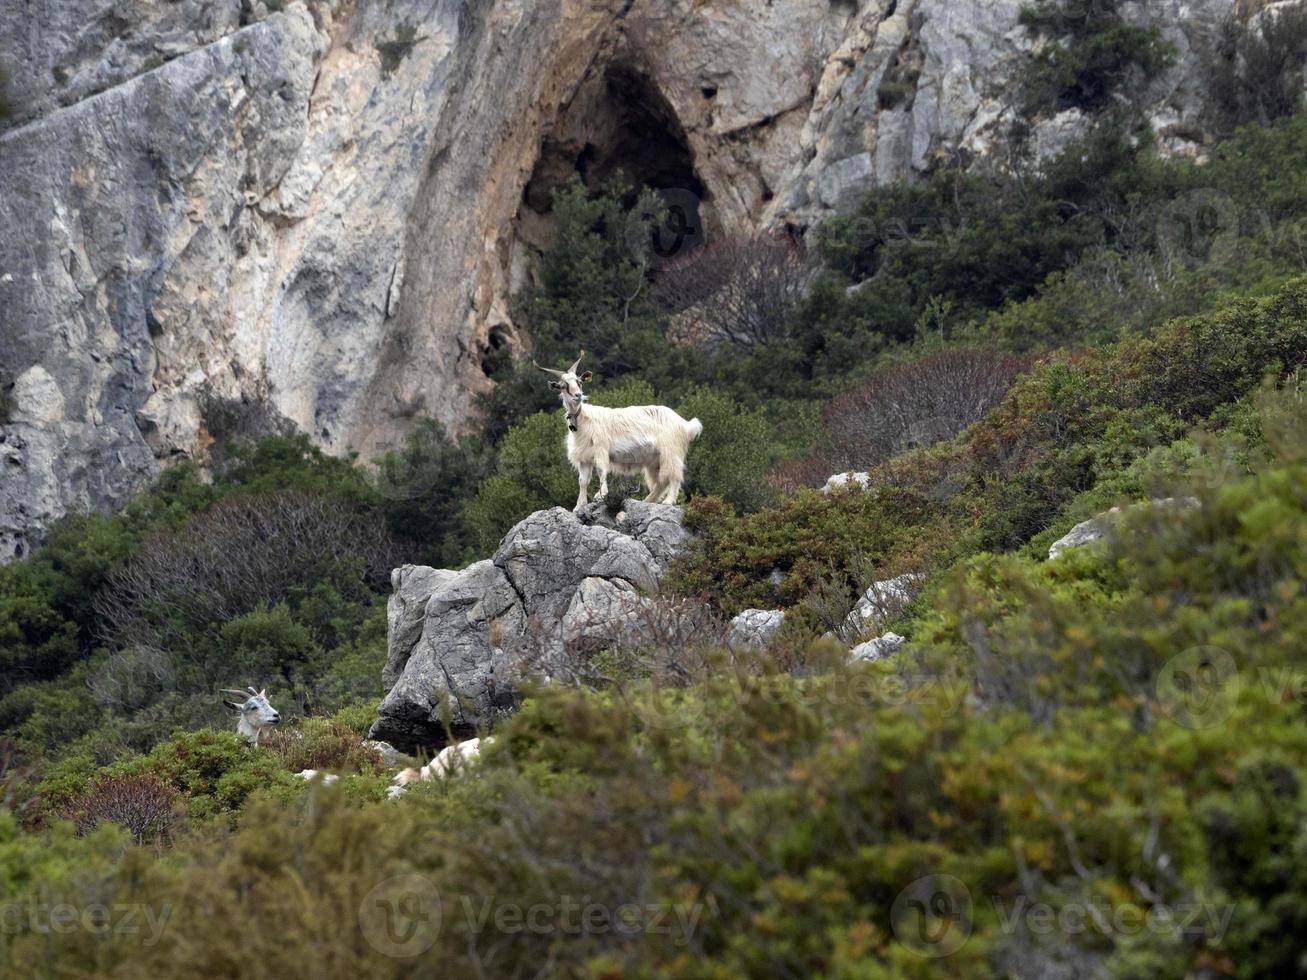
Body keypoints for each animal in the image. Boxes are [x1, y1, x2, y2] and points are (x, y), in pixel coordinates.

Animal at [535, 350, 705, 506]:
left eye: (579, 382)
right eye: (563, 386)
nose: (578, 395)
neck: (583, 420)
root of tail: (685, 424)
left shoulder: (601, 450)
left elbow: (601, 472)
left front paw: (601, 495)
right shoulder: (584, 458)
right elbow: (582, 481)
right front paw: (579, 505)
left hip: (671, 452)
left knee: (674, 475)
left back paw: (668, 501)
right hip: (654, 459)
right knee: (660, 481)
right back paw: (648, 500)